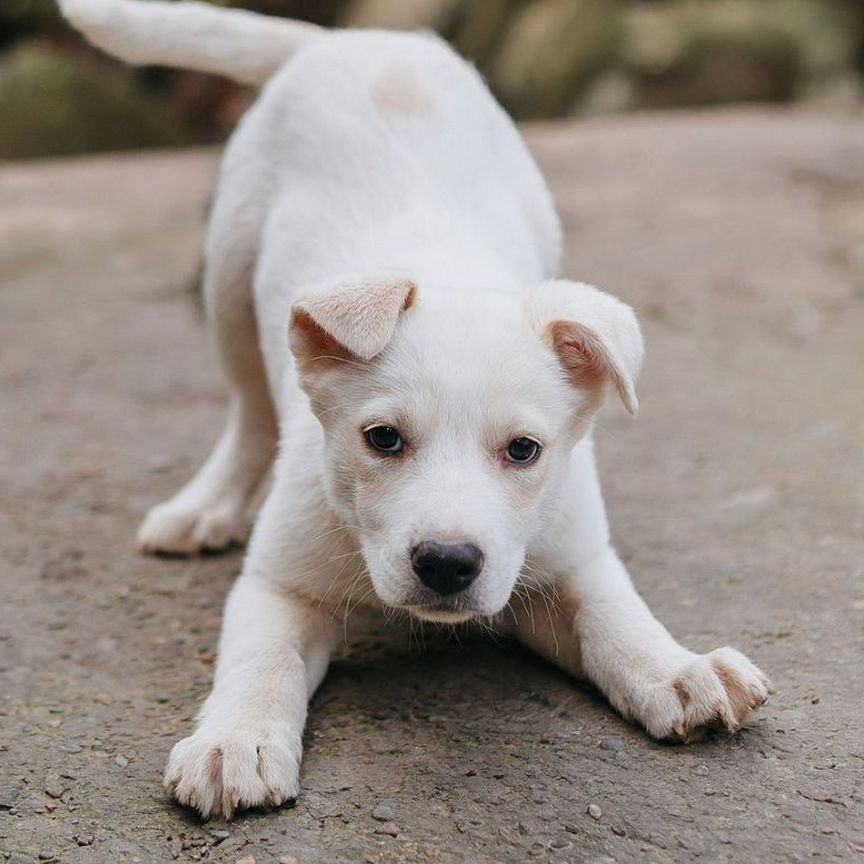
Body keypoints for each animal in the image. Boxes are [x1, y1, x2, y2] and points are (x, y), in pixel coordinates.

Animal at [59, 0, 768, 820]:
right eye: (383, 439)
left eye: (524, 451)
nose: (448, 564)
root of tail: (361, 39)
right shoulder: (280, 582)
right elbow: (260, 661)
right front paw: (234, 741)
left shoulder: (566, 559)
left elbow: (614, 618)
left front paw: (680, 669)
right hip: (229, 279)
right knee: (249, 410)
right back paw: (204, 505)